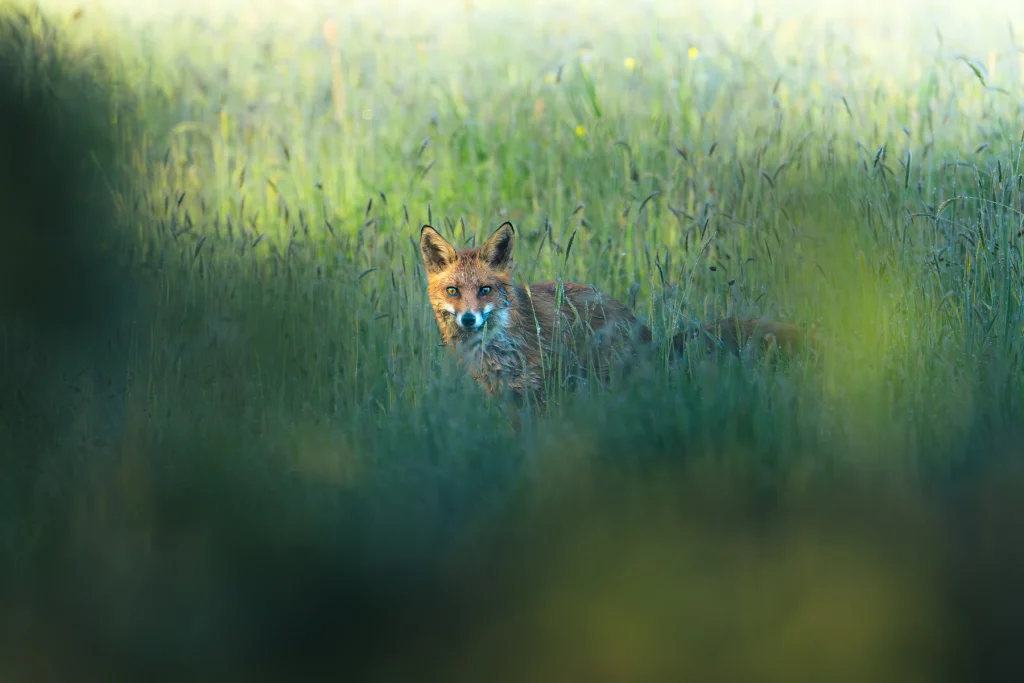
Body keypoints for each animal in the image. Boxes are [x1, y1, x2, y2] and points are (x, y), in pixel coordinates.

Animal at [419, 221, 816, 409]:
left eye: (485, 290)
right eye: (453, 291)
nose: (469, 320)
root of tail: (648, 335)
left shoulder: (541, 393)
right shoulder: (509, 400)